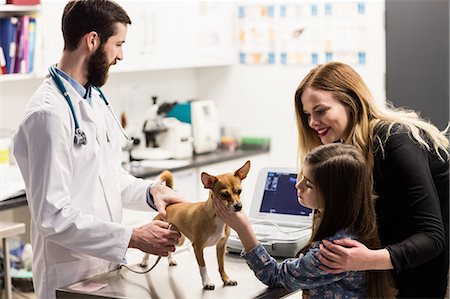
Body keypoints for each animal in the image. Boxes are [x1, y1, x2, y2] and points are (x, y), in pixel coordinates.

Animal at [141, 162, 251, 290]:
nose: (239, 206)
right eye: (224, 195)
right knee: (148, 249)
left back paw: (171, 259)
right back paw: (144, 261)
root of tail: (170, 205)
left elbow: (221, 265)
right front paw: (207, 282)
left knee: (170, 248)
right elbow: (203, 267)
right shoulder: (198, 247)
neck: (217, 219)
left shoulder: (221, 246)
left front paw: (226, 279)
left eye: (239, 191)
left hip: (177, 239)